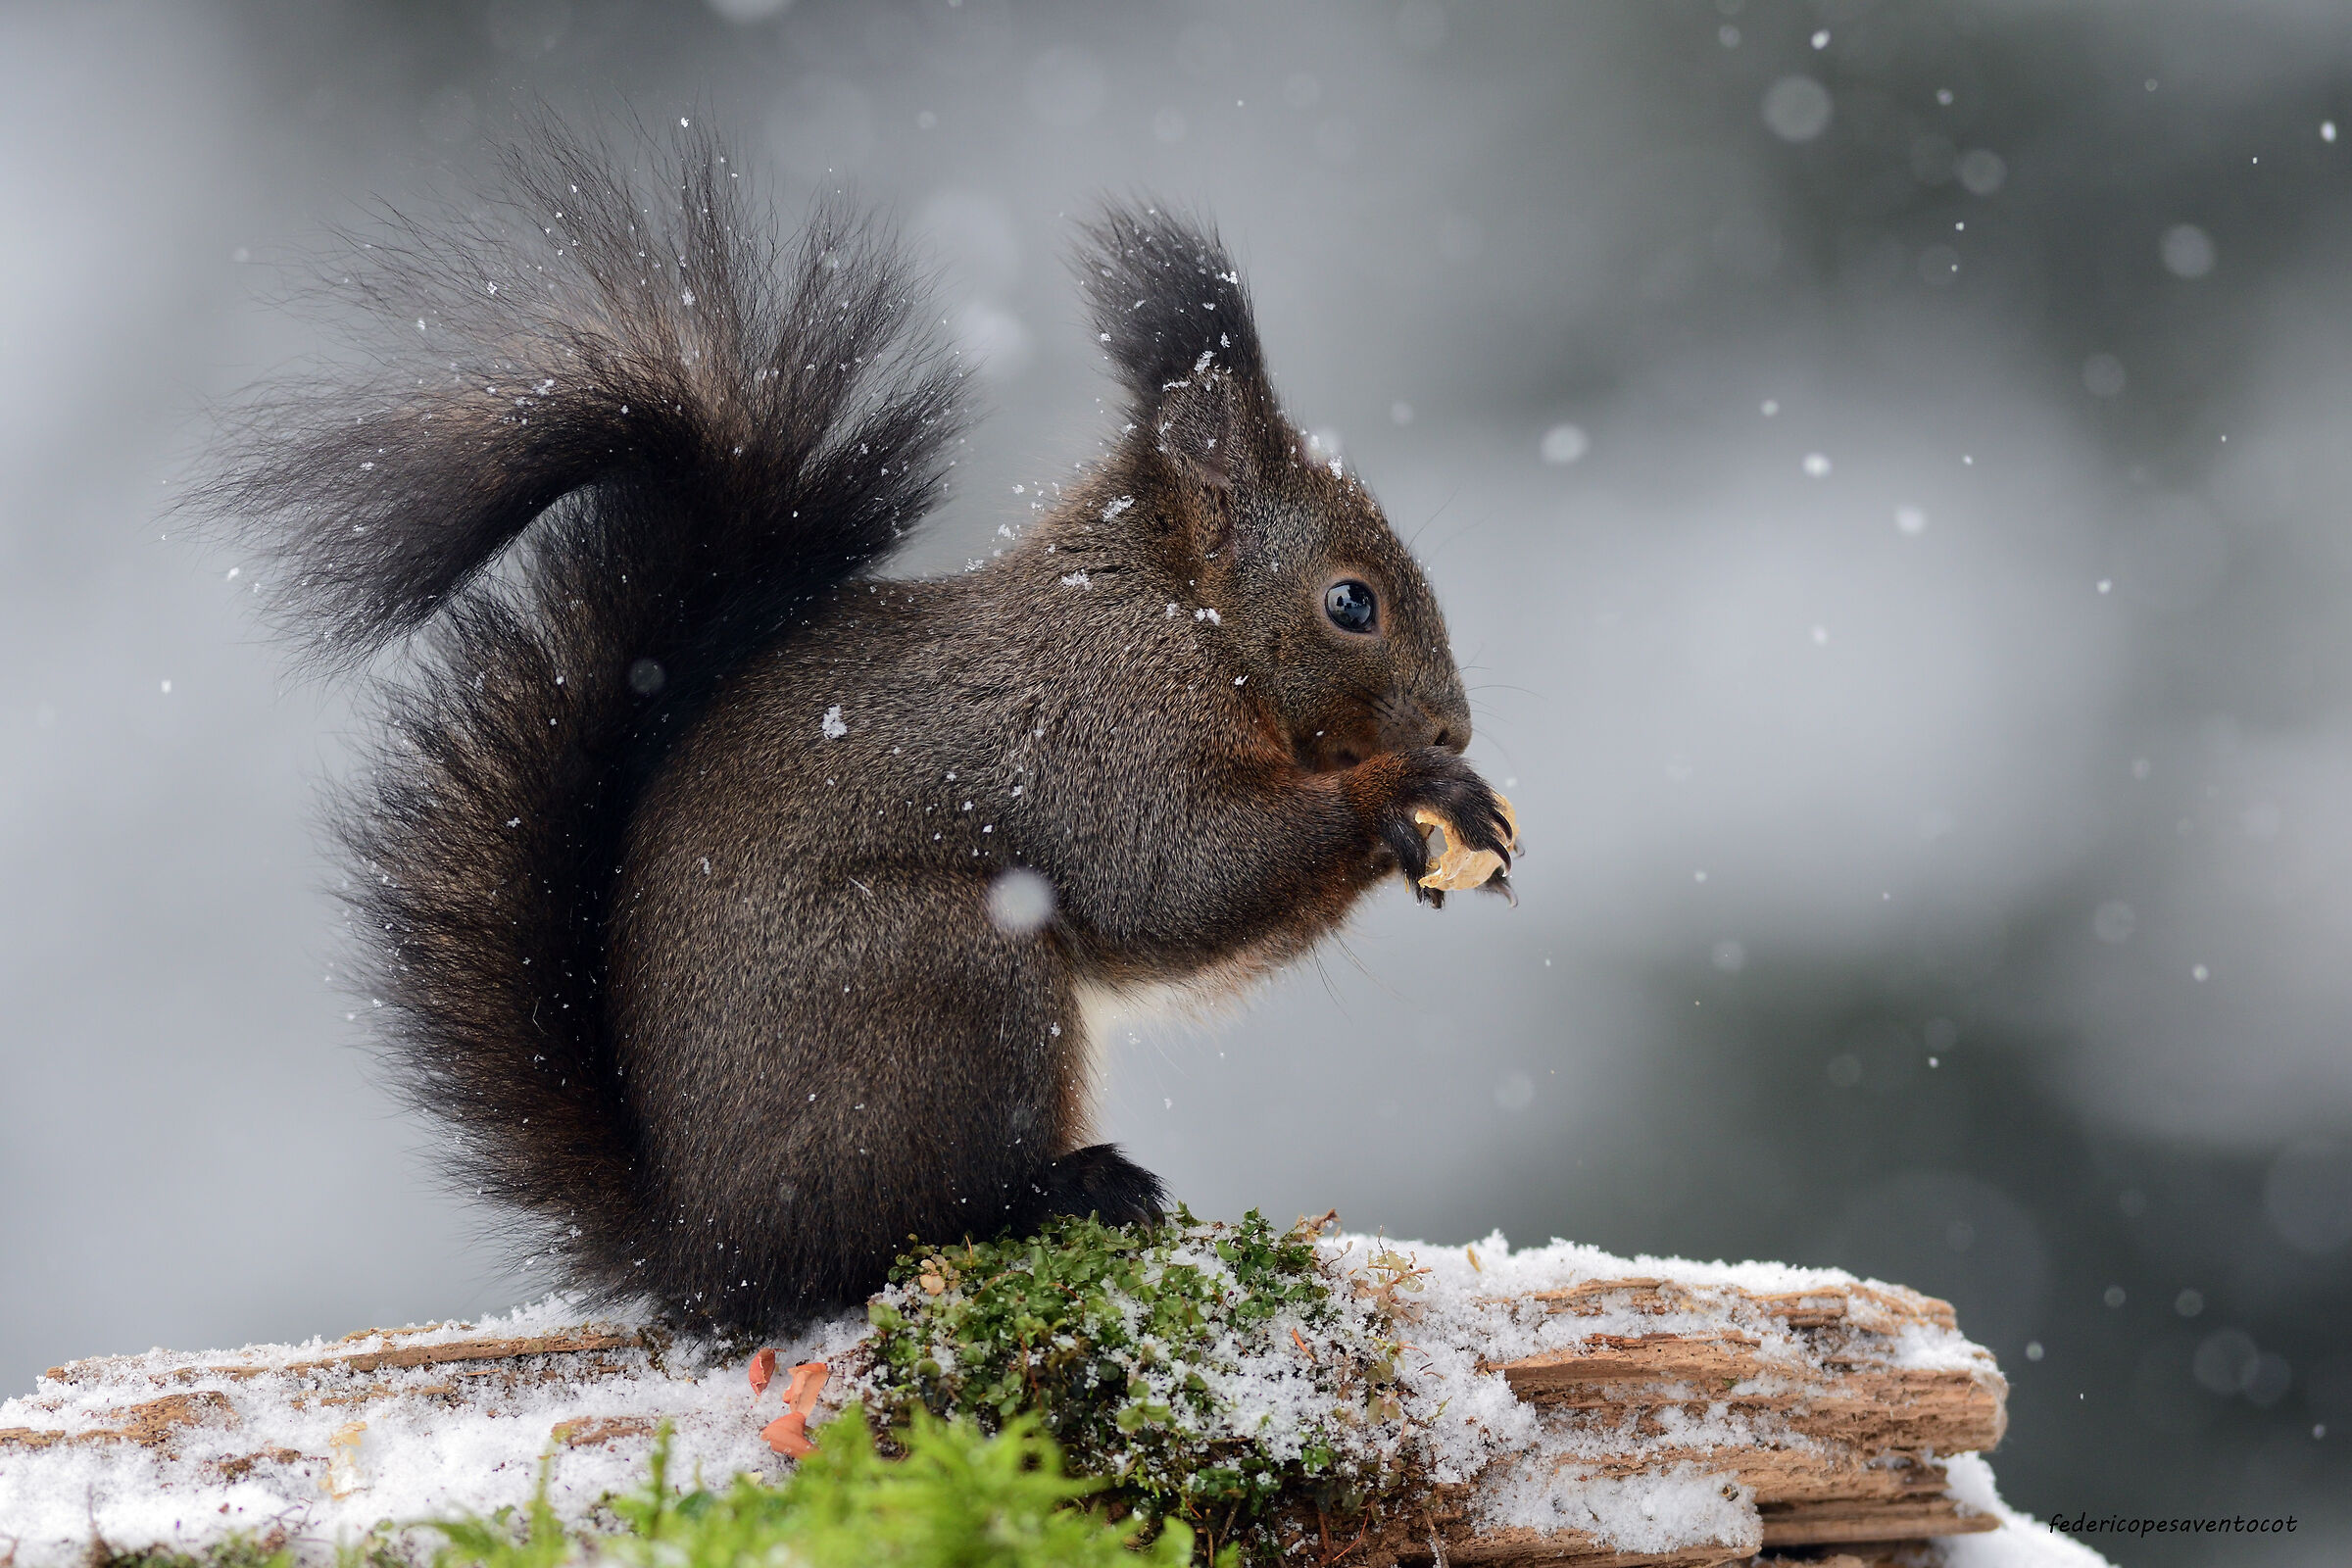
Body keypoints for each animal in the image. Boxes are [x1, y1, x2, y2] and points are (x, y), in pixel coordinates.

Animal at [207, 126, 1513, 1332]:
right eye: (1353, 603)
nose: (1455, 724)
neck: (1179, 619)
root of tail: (705, 1250)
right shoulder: (1098, 733)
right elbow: (1173, 878)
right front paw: (1413, 797)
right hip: (946, 973)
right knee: (903, 1224)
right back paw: (1067, 1191)